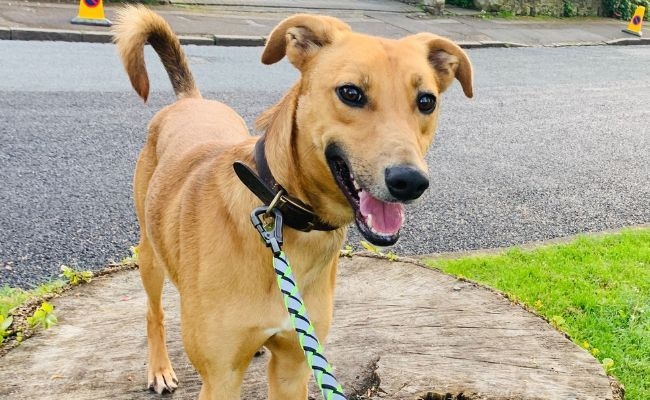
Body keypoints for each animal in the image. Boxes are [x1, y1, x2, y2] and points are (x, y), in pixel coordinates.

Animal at [114, 4, 470, 398]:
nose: (410, 181)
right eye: (350, 93)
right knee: (154, 311)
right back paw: (159, 368)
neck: (282, 212)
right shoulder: (220, 377)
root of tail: (192, 100)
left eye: (426, 101)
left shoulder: (295, 363)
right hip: (149, 254)